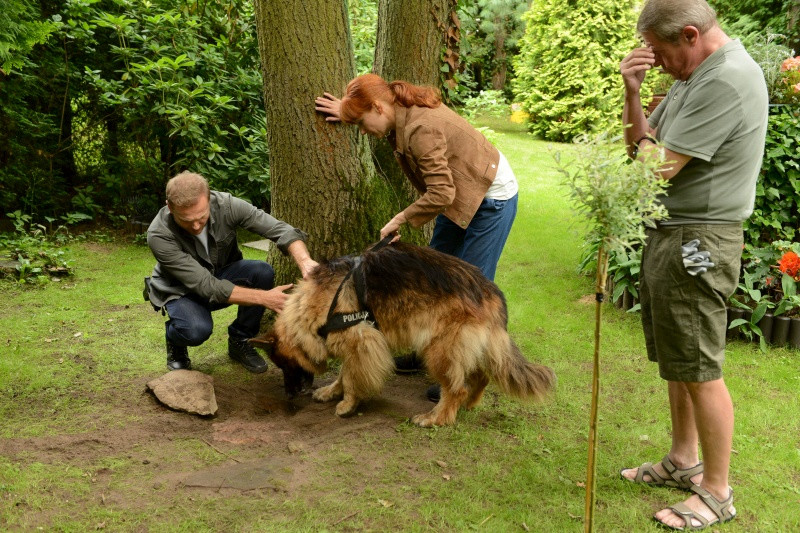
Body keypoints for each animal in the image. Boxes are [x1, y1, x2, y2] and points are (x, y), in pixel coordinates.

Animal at [252, 239, 556, 426]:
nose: (290, 396)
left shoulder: (360, 341)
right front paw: (331, 391)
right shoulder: (356, 342)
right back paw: (469, 404)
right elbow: (344, 373)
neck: (314, 304)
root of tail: (490, 289)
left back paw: (437, 418)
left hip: (438, 349)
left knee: (456, 387)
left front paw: (347, 403)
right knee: (481, 376)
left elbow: (351, 377)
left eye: (286, 365)